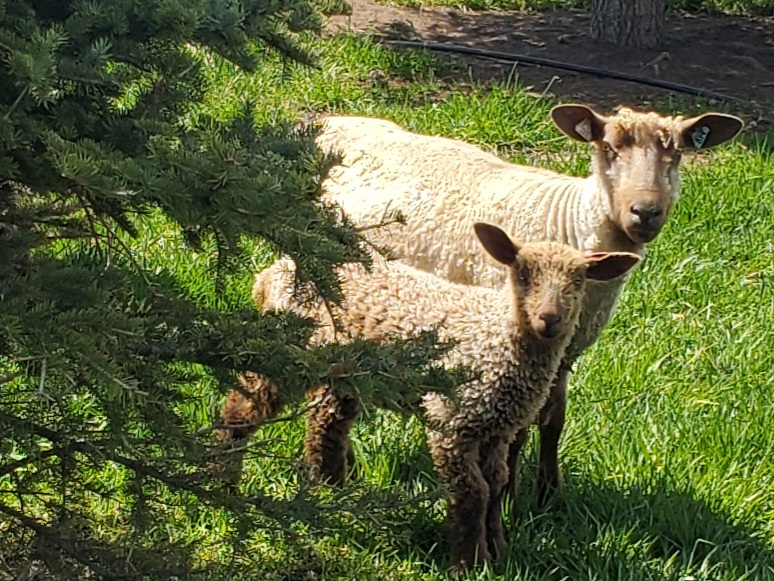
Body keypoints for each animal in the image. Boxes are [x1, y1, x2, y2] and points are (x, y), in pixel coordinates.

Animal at [220, 221, 640, 573]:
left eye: (578, 281)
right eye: (522, 275)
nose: (549, 319)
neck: (497, 337)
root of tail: (271, 274)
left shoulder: (496, 429)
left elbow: (497, 484)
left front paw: (498, 550)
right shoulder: (452, 421)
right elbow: (473, 493)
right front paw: (470, 564)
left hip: (344, 373)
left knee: (326, 425)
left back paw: (333, 494)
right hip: (288, 352)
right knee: (242, 410)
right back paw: (225, 484)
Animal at [313, 104, 743, 511]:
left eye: (678, 154)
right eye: (608, 148)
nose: (646, 212)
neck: (570, 222)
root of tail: (330, 121)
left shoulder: (564, 351)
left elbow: (554, 420)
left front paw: (550, 494)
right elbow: (517, 429)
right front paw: (510, 501)